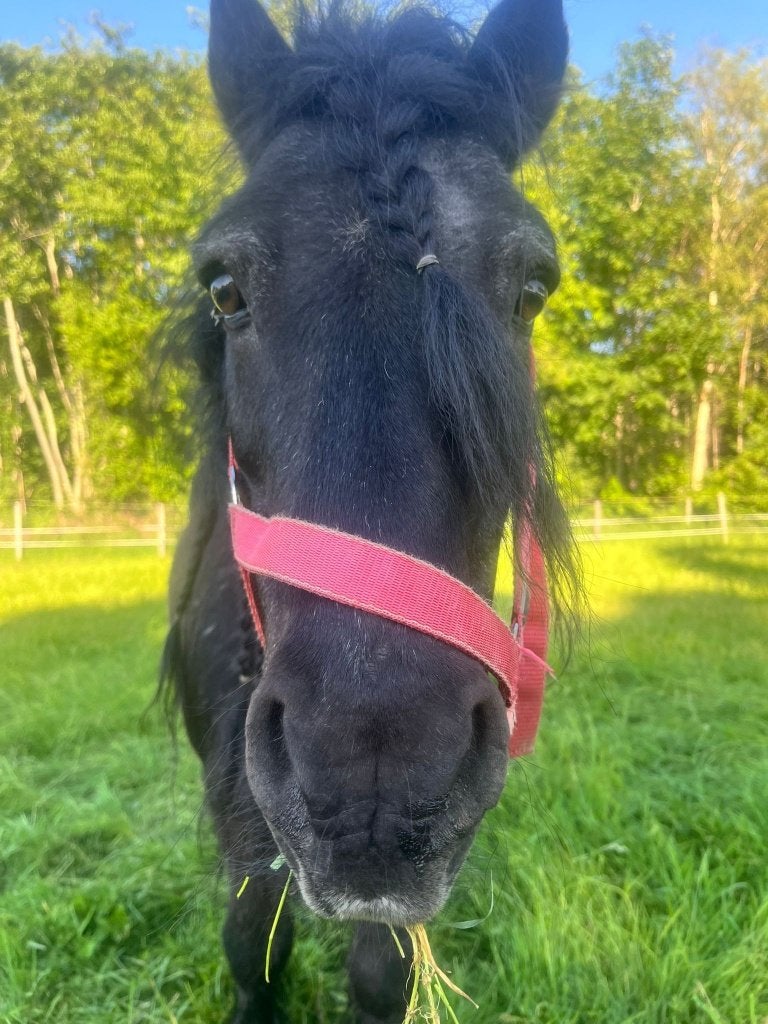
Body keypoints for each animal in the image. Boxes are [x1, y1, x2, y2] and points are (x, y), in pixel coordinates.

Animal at [163, 0, 575, 1020]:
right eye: (223, 286)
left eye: (534, 288)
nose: (372, 773)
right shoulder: (239, 795)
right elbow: (252, 938)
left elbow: (382, 967)